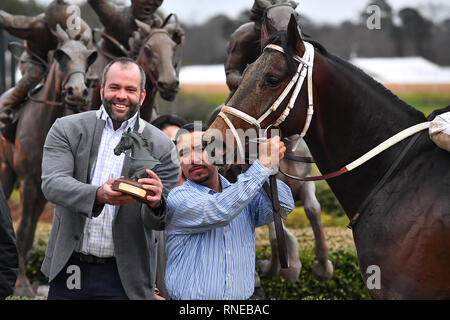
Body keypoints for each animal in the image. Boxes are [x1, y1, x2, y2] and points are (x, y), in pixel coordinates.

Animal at [0, 25, 96, 298]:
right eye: (61, 56)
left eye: (89, 57)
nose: (78, 92)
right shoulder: (28, 181)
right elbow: (22, 230)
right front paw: (21, 283)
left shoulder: (52, 185)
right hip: (6, 172)